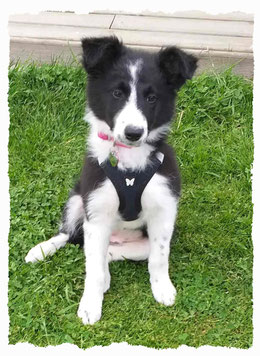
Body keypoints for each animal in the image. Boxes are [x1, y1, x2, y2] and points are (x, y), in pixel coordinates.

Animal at [25, 36, 197, 326]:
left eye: (151, 98)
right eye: (117, 94)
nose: (133, 133)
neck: (129, 165)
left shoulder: (164, 209)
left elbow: (159, 257)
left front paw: (162, 288)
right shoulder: (95, 208)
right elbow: (91, 269)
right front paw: (90, 306)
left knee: (108, 252)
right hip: (77, 199)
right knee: (71, 236)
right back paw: (41, 250)